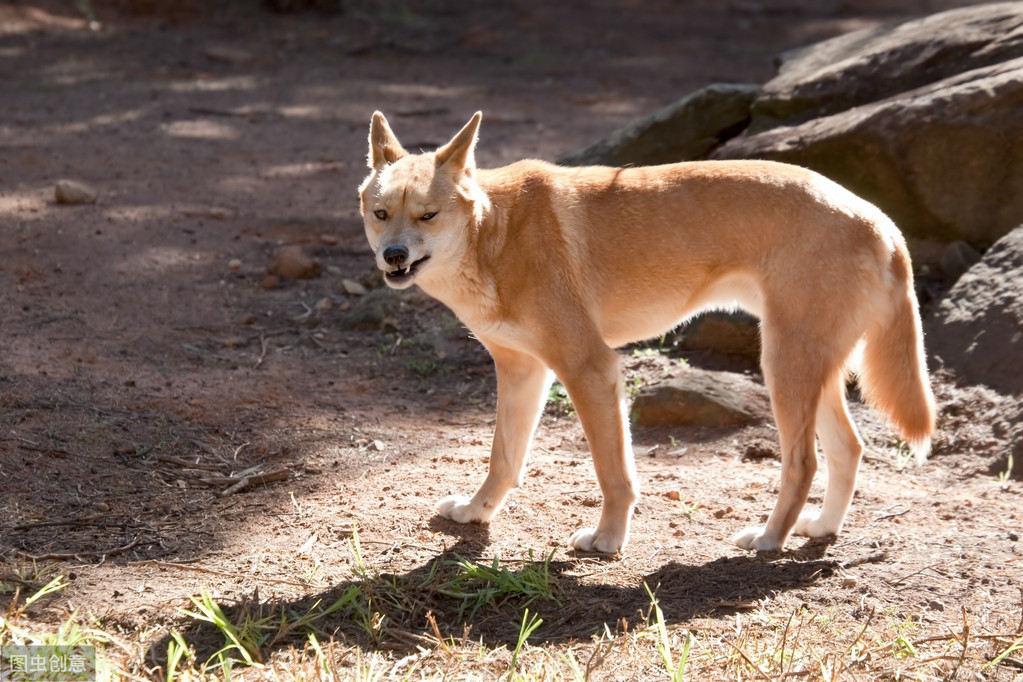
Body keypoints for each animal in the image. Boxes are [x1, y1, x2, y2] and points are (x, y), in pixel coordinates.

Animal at [358, 107, 937, 556]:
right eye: (380, 213)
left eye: (428, 216)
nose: (394, 256)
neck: (494, 235)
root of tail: (879, 219)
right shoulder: (524, 372)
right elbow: (504, 459)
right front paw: (477, 513)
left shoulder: (590, 368)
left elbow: (614, 473)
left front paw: (608, 539)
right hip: (812, 373)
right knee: (849, 450)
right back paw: (819, 529)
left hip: (783, 368)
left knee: (804, 462)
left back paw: (771, 539)